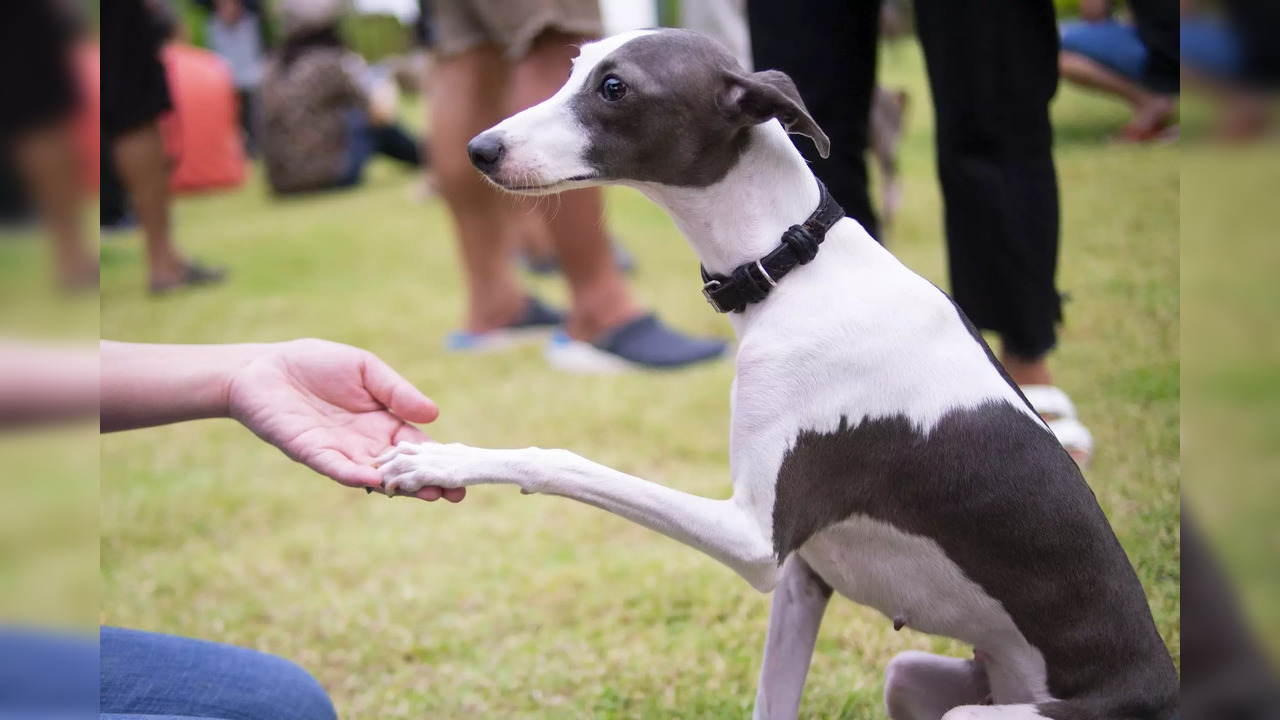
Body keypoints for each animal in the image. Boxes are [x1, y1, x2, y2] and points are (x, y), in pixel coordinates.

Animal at [378, 29, 1177, 717]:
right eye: (574, 65)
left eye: (614, 87)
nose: (478, 149)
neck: (796, 265)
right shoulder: (803, 581)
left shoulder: (754, 539)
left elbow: (562, 460)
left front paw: (439, 458)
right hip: (917, 681)